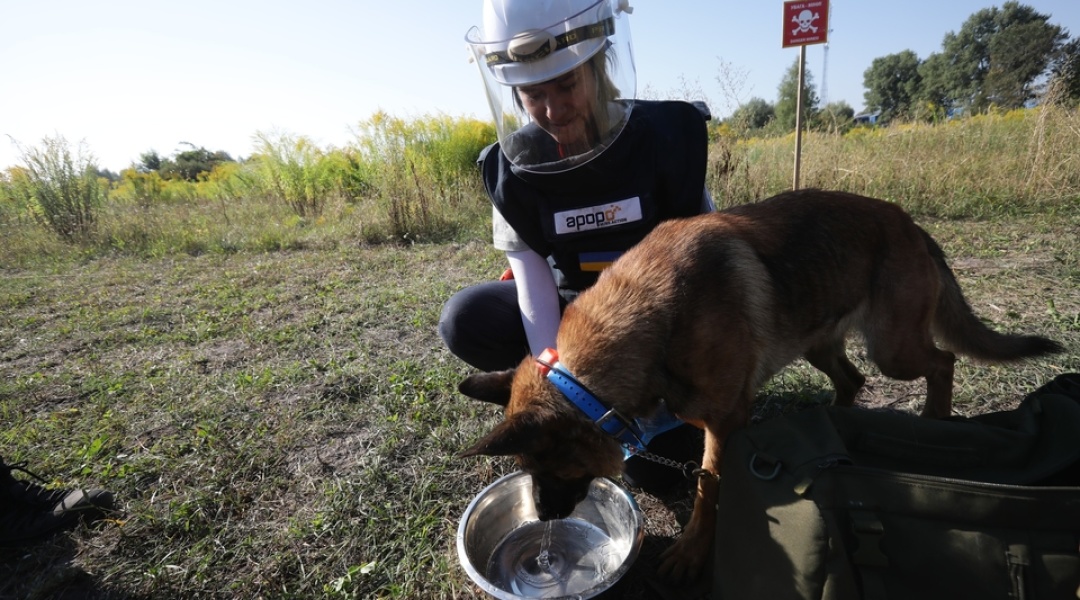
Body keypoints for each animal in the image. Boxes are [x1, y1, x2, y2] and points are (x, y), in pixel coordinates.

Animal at [455, 189, 1062, 582]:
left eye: (545, 467)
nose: (544, 521)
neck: (652, 320)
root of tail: (911, 224)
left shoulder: (725, 424)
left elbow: (708, 488)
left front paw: (693, 552)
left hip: (895, 348)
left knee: (942, 362)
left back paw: (935, 419)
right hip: (821, 341)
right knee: (853, 380)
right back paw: (833, 425)